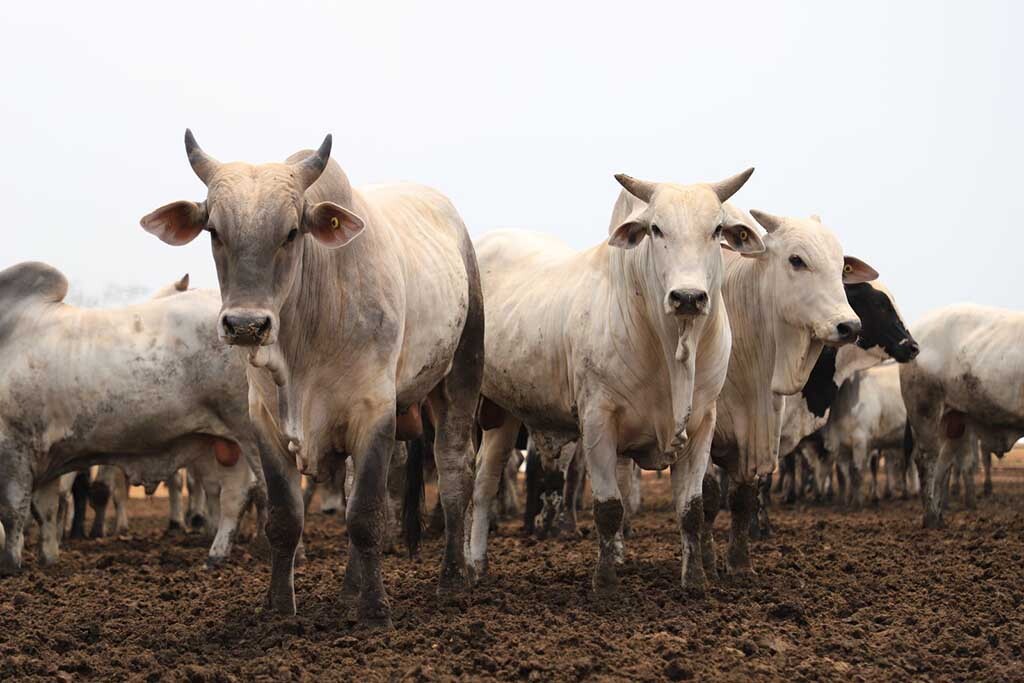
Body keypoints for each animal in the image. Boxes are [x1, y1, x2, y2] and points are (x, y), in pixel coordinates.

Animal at [471, 167, 761, 589]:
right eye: (656, 228)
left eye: (717, 229)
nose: (688, 297)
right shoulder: (597, 420)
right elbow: (609, 509)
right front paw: (605, 583)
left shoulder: (702, 424)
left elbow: (691, 510)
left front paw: (695, 582)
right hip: (484, 409)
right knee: (482, 485)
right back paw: (474, 566)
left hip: (508, 412)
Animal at [901, 305, 1024, 528]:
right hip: (925, 411)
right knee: (926, 460)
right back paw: (931, 517)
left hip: (954, 423)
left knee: (943, 464)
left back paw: (938, 516)